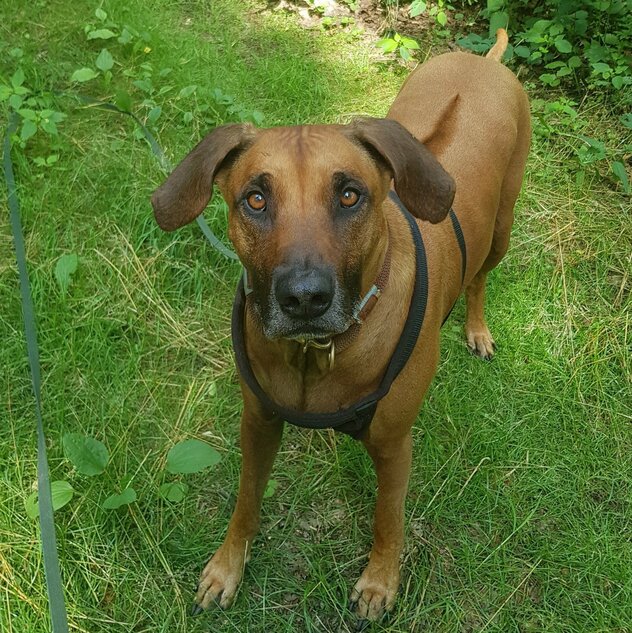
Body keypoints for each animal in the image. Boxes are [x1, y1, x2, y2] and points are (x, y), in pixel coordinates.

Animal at [152, 29, 528, 624]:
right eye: (254, 199)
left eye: (350, 194)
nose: (304, 298)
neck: (318, 351)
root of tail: (485, 61)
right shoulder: (258, 420)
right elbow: (246, 499)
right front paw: (227, 566)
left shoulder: (395, 445)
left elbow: (388, 519)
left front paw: (380, 582)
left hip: (502, 230)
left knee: (481, 278)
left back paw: (476, 328)